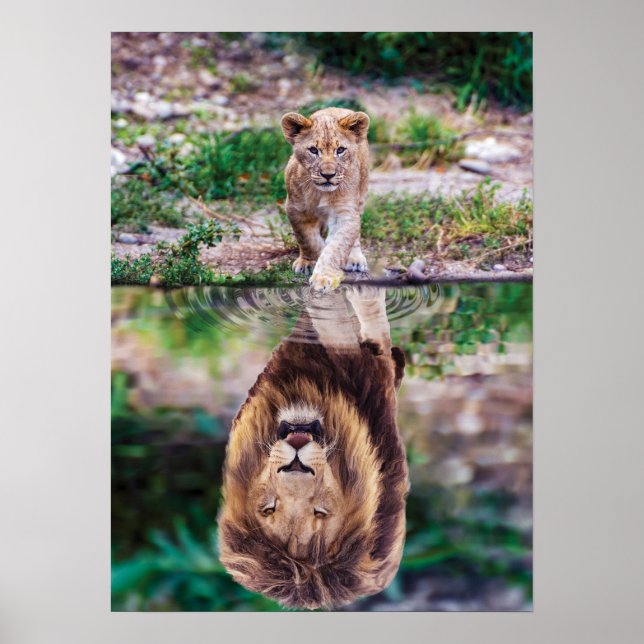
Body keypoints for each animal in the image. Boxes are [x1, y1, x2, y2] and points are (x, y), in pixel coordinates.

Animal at [281, 107, 371, 293]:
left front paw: (323, 277)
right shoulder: (295, 209)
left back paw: (355, 258)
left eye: (340, 150)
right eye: (313, 150)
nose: (328, 175)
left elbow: (337, 246)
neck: (320, 193)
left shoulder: (346, 212)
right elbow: (308, 240)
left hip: (361, 195)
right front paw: (309, 261)